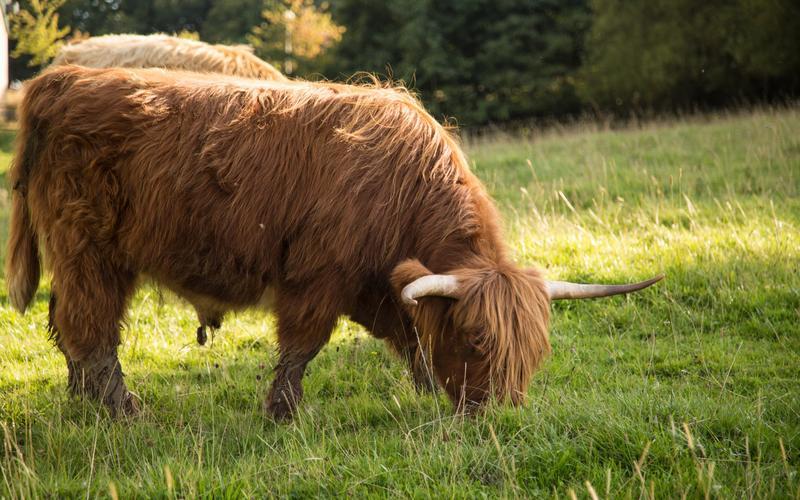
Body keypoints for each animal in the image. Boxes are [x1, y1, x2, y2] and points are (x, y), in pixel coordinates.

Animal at [4, 65, 664, 418]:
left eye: (536, 349)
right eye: (478, 339)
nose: (501, 415)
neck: (406, 189)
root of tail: (62, 78)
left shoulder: (382, 285)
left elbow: (412, 337)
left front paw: (427, 390)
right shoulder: (318, 275)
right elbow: (303, 344)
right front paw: (284, 413)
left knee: (67, 323)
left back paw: (81, 404)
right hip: (89, 249)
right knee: (90, 325)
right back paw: (121, 409)